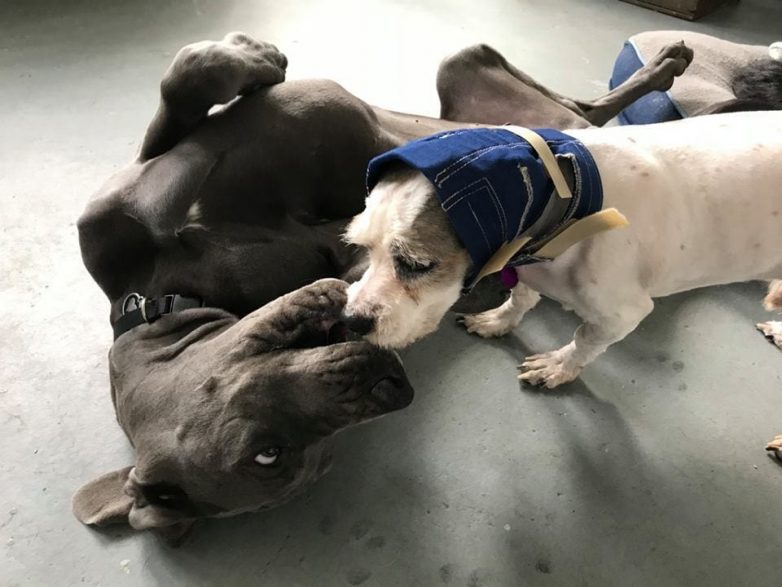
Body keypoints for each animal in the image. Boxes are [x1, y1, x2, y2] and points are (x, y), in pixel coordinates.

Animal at [344, 111, 782, 390]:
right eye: (362, 247)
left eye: (417, 264)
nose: (351, 321)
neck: (567, 193)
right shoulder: (525, 267)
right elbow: (519, 299)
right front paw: (498, 321)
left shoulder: (621, 315)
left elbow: (584, 340)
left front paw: (558, 366)